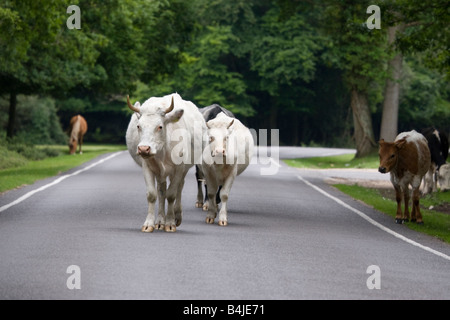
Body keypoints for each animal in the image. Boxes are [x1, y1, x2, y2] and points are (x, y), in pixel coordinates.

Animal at [125, 93, 206, 232]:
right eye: (138, 126)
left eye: (160, 126)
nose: (144, 149)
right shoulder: (147, 167)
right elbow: (152, 194)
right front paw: (149, 224)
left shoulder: (179, 168)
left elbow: (171, 195)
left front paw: (170, 223)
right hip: (160, 172)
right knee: (162, 190)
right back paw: (160, 221)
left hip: (182, 170)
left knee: (178, 188)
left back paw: (176, 216)